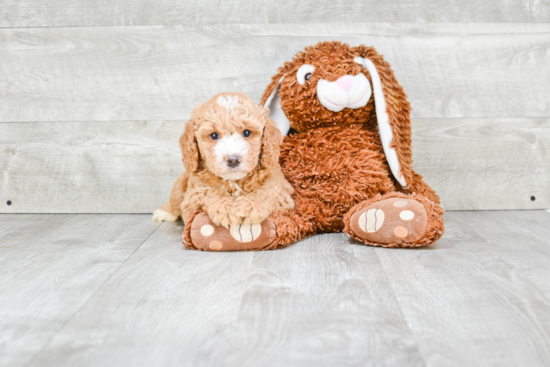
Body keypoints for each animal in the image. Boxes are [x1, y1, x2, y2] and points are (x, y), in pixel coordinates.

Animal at [153, 92, 296, 229]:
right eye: (214, 135)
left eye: (247, 133)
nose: (233, 160)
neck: (234, 181)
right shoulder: (193, 195)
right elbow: (210, 192)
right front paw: (226, 209)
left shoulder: (281, 190)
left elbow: (266, 192)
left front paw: (249, 207)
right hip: (180, 185)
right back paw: (163, 212)